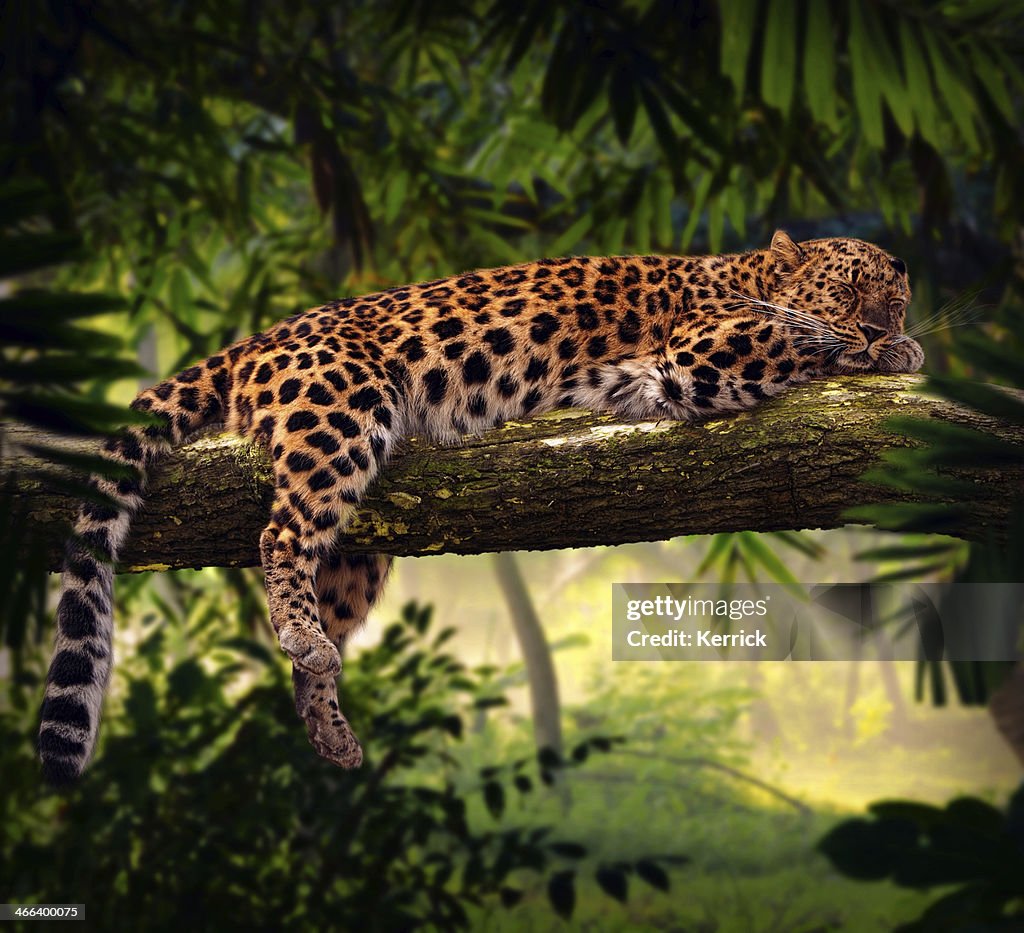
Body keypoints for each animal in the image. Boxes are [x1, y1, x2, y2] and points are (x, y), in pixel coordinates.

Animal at [37, 229, 921, 782]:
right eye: (848, 292)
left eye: (898, 298)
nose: (887, 329)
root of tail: (256, 339)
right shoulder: (702, 350)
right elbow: (799, 335)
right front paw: (882, 350)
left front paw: (901, 348)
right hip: (340, 410)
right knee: (280, 531)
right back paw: (299, 633)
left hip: (362, 538)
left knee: (325, 585)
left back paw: (327, 719)